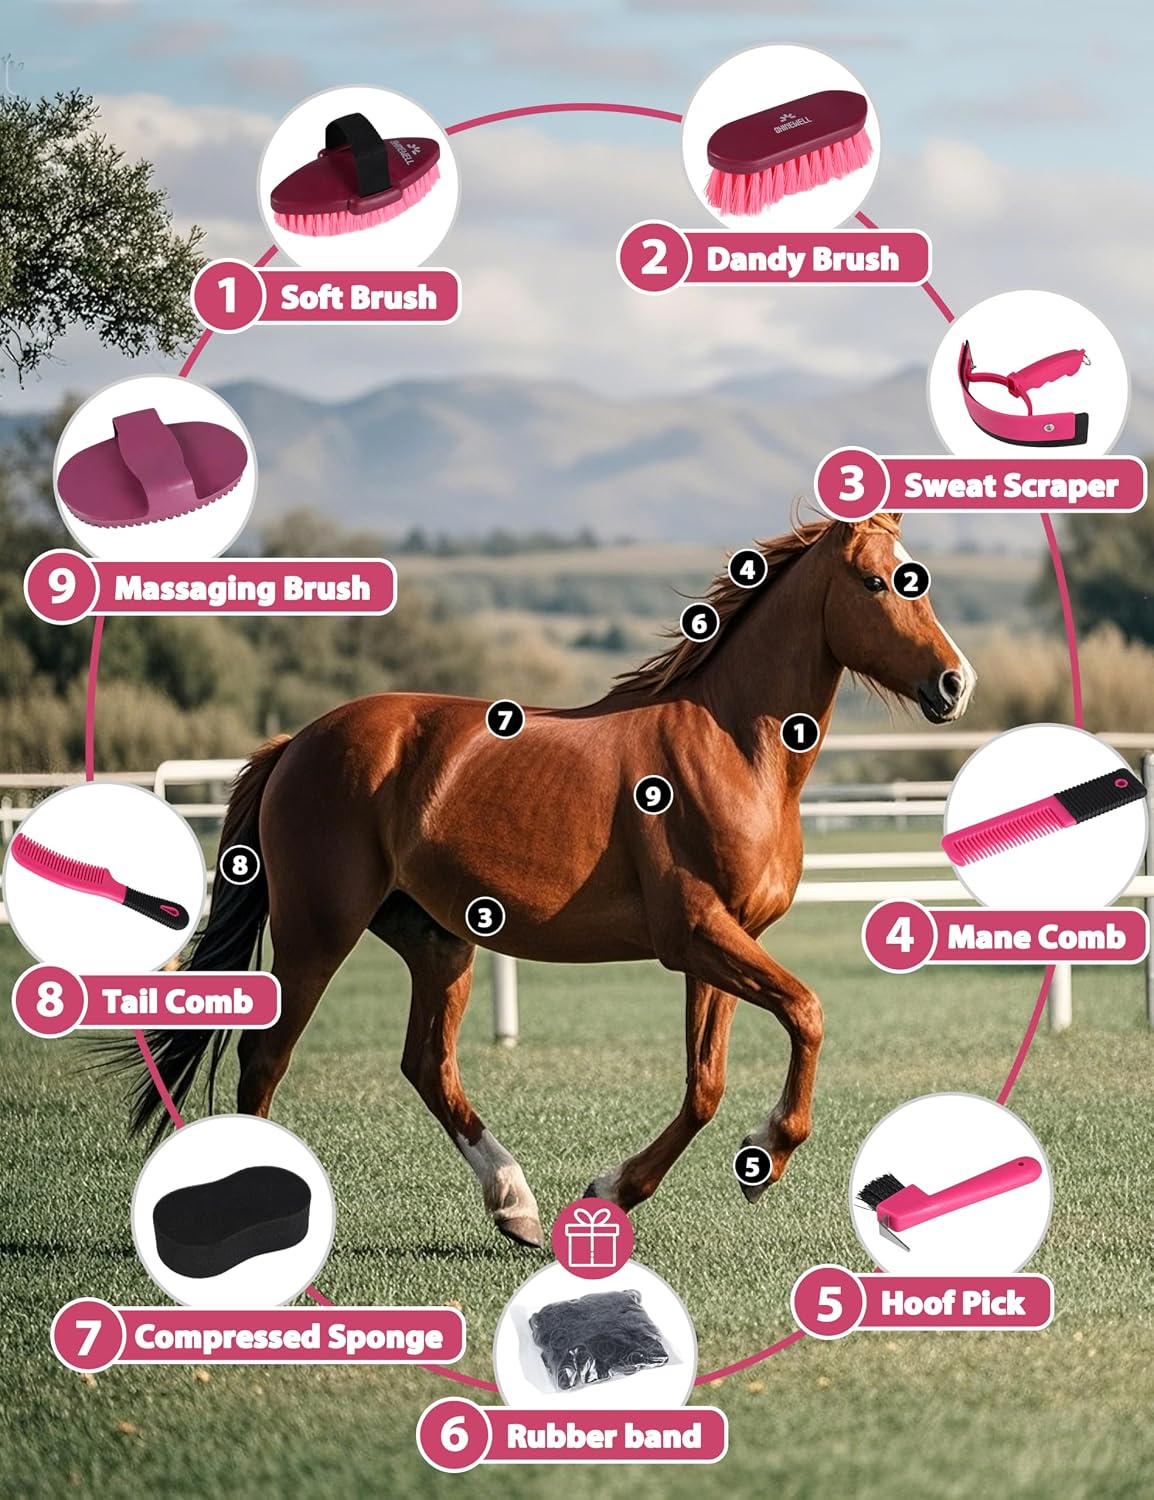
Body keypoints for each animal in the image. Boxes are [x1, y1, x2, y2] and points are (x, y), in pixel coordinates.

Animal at [117, 513, 974, 1249]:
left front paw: (618, 1190)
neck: (734, 747)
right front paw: (763, 1156)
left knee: (427, 1066)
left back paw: (515, 1205)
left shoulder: (725, 941)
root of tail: (297, 742)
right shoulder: (696, 935)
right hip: (316, 933)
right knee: (266, 1060)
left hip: (438, 939)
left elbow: (706, 1083)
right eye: (877, 582)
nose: (955, 684)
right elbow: (806, 1013)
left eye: (917, 579)